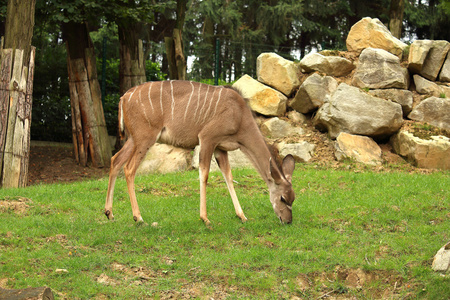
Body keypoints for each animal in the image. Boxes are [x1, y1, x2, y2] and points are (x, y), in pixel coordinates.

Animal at [105, 80, 296, 225]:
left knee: (115, 160)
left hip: (133, 139)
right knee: (129, 168)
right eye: (283, 199)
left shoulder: (220, 148)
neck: (240, 115)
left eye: (293, 198)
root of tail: (124, 97)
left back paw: (109, 213)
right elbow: (204, 174)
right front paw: (205, 218)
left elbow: (228, 176)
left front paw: (242, 216)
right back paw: (138, 217)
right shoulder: (207, 138)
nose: (287, 221)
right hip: (145, 138)